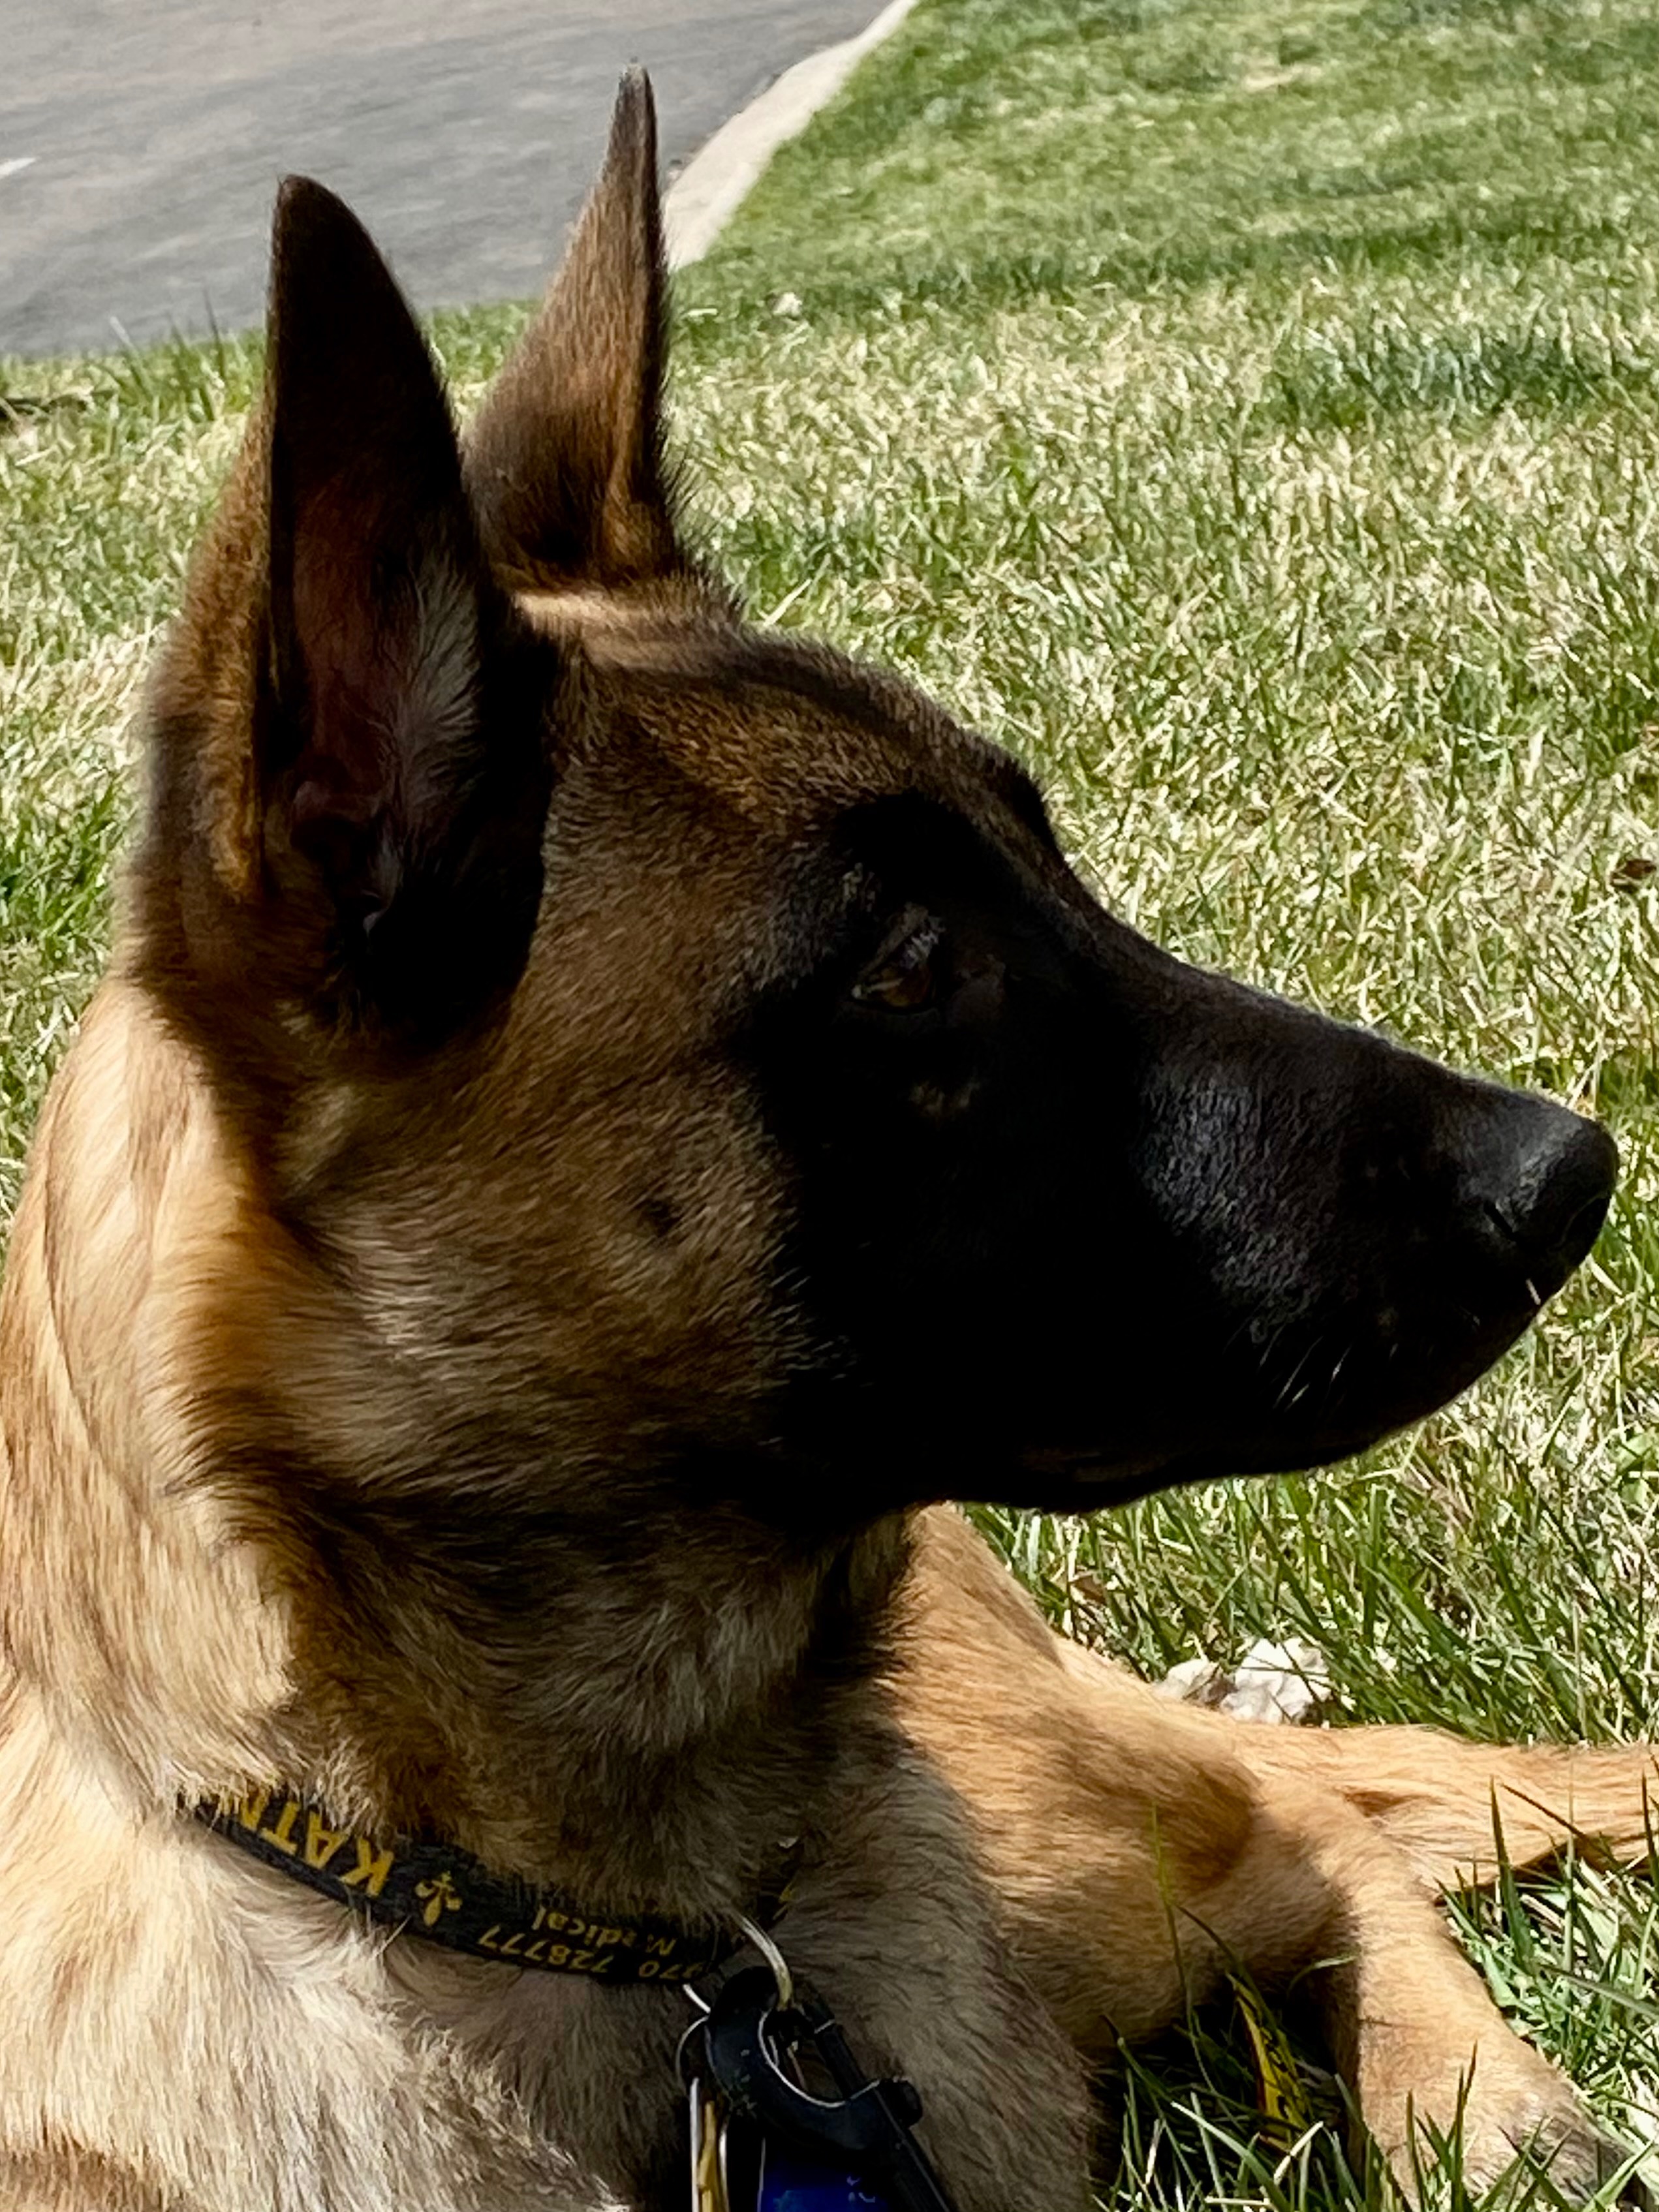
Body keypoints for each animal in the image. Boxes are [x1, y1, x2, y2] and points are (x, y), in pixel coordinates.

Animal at [0, 70, 1653, 2212]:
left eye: (1052, 861)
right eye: (913, 966)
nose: (1570, 1173)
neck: (638, 1954)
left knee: (1312, 1822)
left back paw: (1485, 2107)